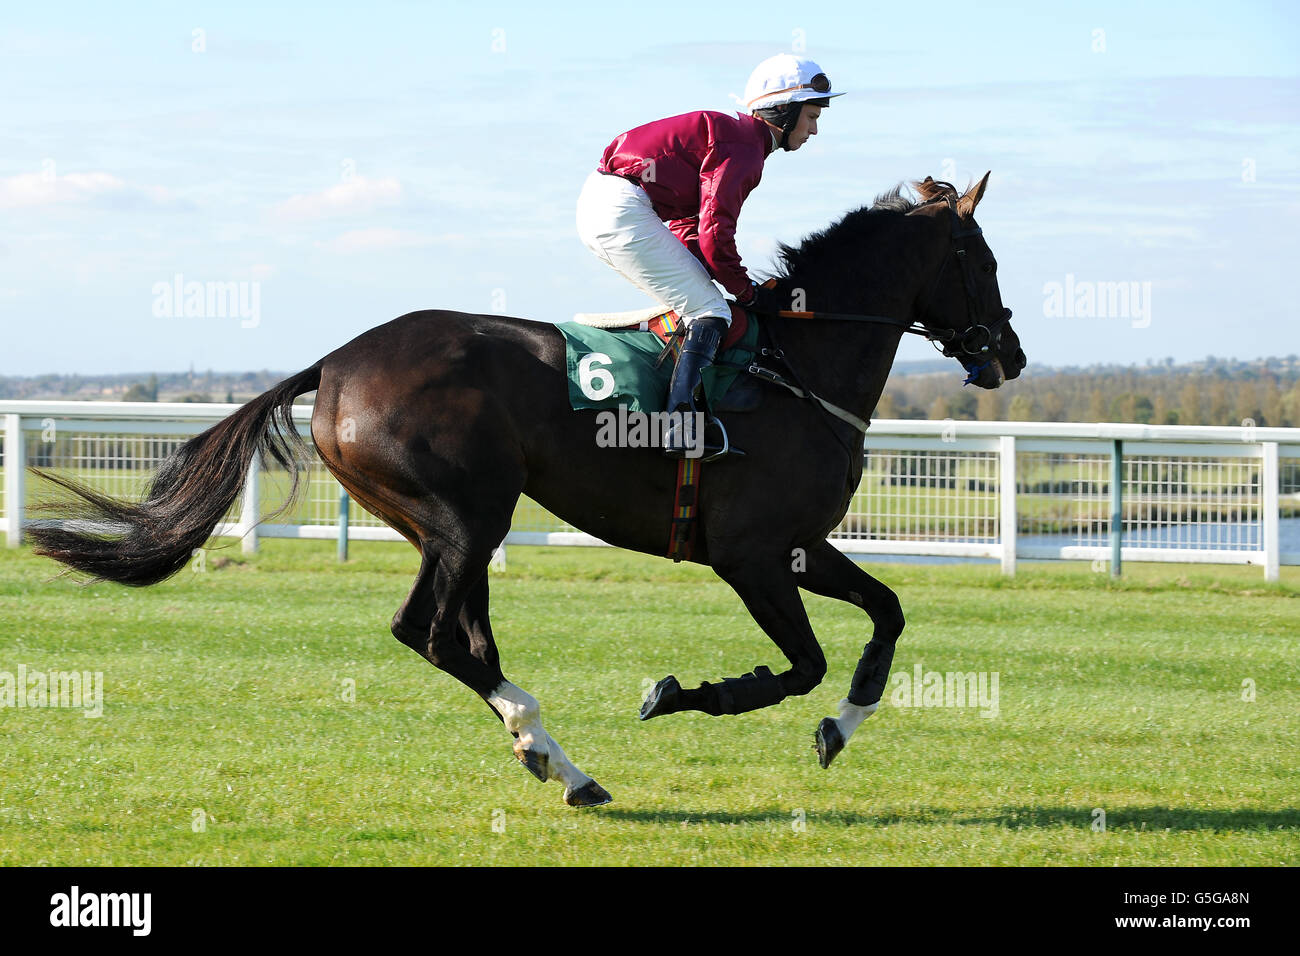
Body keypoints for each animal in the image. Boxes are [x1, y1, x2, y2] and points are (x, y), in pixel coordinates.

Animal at [29, 175, 1024, 807]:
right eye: (980, 256)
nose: (1009, 353)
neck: (797, 366)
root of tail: (336, 362)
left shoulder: (800, 546)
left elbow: (888, 613)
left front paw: (843, 725)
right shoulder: (749, 556)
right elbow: (802, 664)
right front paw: (683, 694)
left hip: (446, 527)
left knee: (464, 637)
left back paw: (555, 760)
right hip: (467, 517)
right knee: (431, 632)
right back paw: (554, 751)